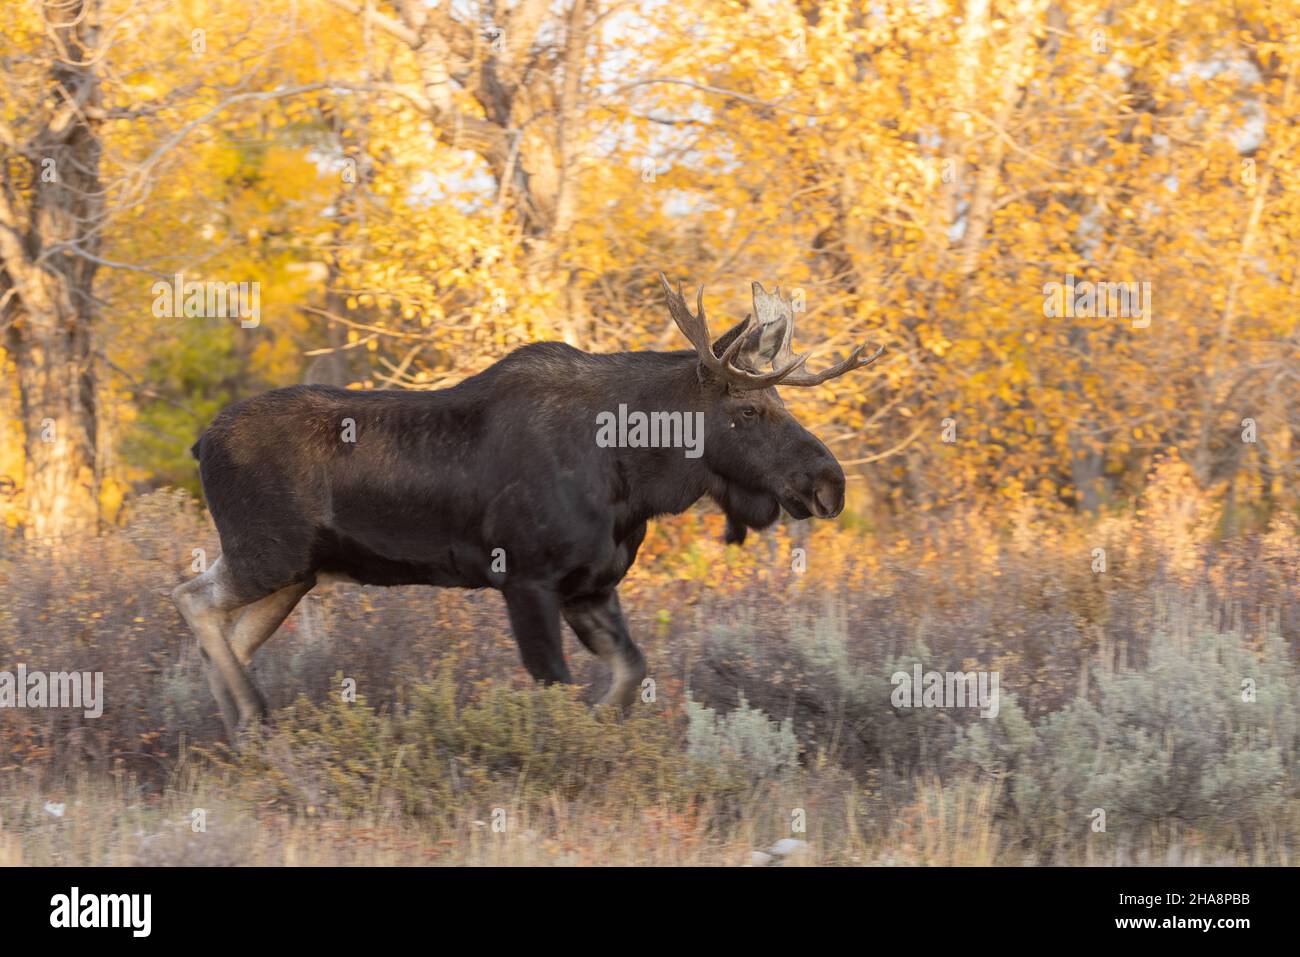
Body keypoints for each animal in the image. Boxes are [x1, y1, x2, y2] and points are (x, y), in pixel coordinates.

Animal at [173, 274, 884, 737]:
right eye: (749, 410)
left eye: (780, 402)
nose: (830, 483)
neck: (634, 475)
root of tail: (200, 442)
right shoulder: (526, 578)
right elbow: (557, 690)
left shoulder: (591, 586)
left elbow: (629, 675)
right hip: (268, 553)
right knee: (191, 598)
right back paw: (253, 717)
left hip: (298, 573)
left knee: (228, 634)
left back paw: (239, 729)